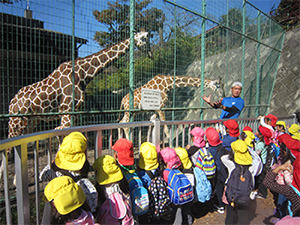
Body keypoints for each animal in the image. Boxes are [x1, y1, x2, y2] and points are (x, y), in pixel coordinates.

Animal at [6, 31, 148, 141]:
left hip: (31, 121)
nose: (149, 51)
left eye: (147, 36)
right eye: (143, 37)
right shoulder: (66, 111)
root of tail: (11, 102)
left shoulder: (75, 112)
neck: (82, 73)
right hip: (15, 122)